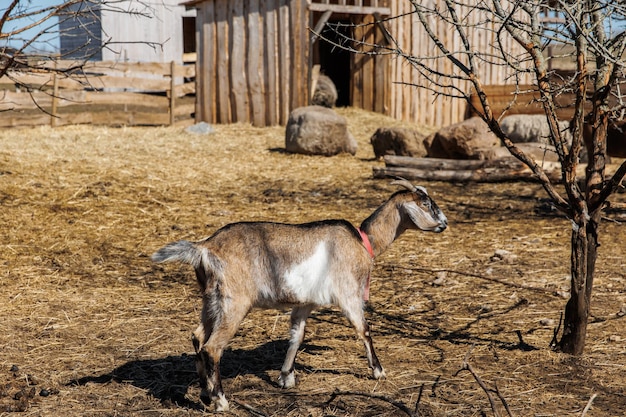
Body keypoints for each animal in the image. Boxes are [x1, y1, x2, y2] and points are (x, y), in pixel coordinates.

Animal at [149, 179, 446, 410]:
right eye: (425, 203)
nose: (444, 224)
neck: (363, 241)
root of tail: (204, 248)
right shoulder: (348, 293)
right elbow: (364, 329)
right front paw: (379, 372)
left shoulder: (304, 303)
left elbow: (297, 336)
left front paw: (286, 377)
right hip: (234, 302)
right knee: (212, 347)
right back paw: (221, 401)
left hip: (211, 300)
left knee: (198, 337)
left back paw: (204, 394)